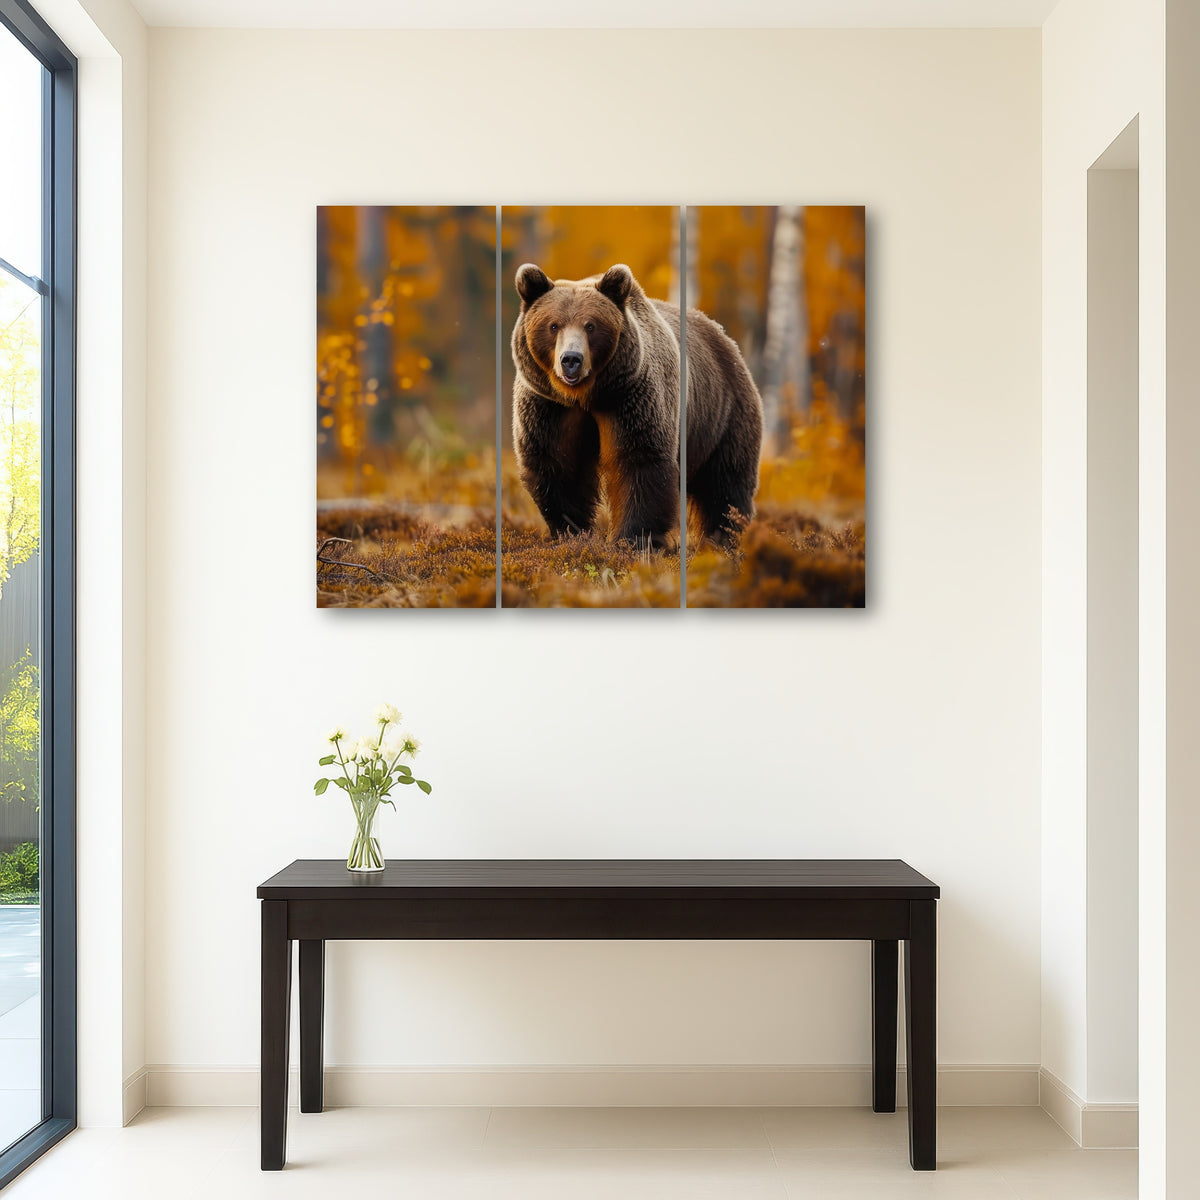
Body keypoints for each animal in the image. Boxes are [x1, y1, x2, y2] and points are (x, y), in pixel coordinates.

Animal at [511, 262, 764, 550]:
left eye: (591, 325)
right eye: (553, 325)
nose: (571, 359)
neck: (586, 396)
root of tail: (726, 339)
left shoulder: (631, 398)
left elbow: (639, 461)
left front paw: (633, 539)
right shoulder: (550, 408)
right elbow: (558, 465)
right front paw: (572, 531)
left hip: (723, 415)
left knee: (726, 483)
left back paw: (724, 537)